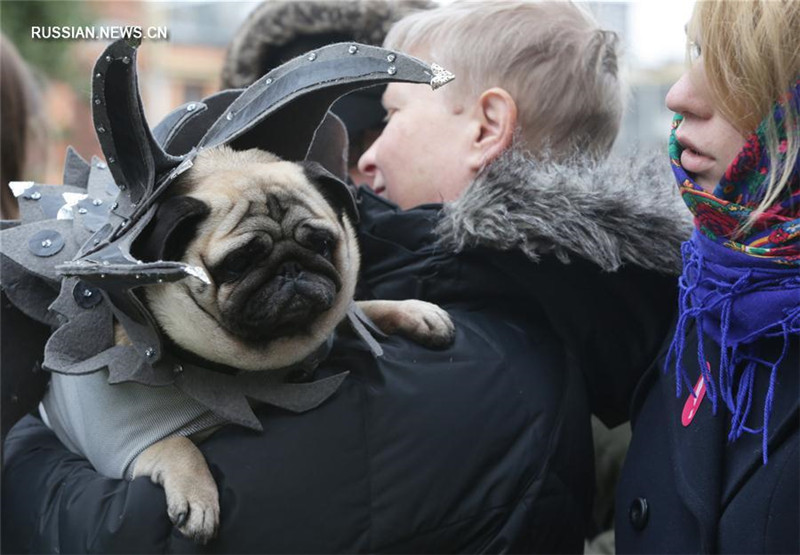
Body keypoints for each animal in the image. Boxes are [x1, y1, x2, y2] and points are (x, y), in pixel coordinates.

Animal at [125, 147, 454, 544]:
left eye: (322, 244)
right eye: (238, 263)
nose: (291, 268)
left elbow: (361, 309)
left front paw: (417, 312)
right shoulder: (123, 445)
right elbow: (178, 444)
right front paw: (197, 497)